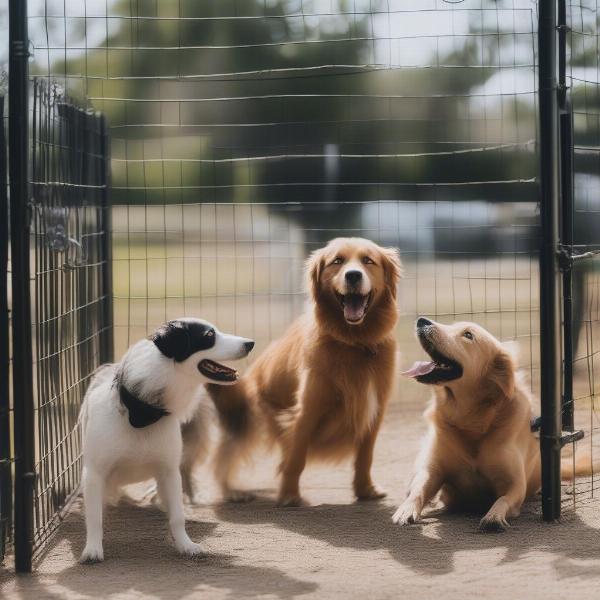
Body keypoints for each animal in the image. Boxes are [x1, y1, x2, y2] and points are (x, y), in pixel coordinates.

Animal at [79, 318, 253, 564]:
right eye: (209, 336)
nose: (250, 343)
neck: (143, 413)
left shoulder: (169, 471)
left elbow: (177, 516)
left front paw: (185, 545)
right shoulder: (94, 473)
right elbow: (95, 517)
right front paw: (93, 548)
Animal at [204, 237, 400, 504]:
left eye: (368, 260)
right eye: (337, 261)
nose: (353, 275)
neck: (353, 343)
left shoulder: (374, 410)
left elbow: (365, 456)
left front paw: (366, 490)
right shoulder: (307, 410)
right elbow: (296, 458)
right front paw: (289, 495)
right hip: (252, 415)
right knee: (225, 456)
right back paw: (232, 491)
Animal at [394, 318, 592, 528]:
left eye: (468, 335)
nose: (422, 320)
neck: (471, 421)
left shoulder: (515, 483)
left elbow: (503, 499)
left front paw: (494, 516)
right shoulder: (433, 471)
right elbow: (418, 490)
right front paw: (406, 510)